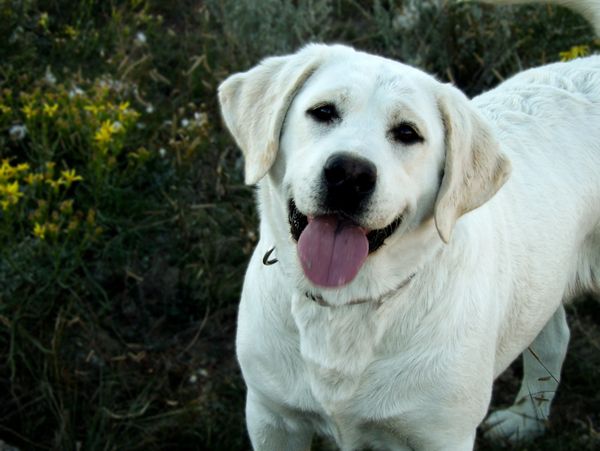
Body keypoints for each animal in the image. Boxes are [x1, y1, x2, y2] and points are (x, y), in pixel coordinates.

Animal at [219, 1, 600, 450]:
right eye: (323, 111)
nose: (349, 175)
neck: (345, 307)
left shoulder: (442, 436)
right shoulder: (272, 416)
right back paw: (525, 420)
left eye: (407, 133)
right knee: (555, 334)